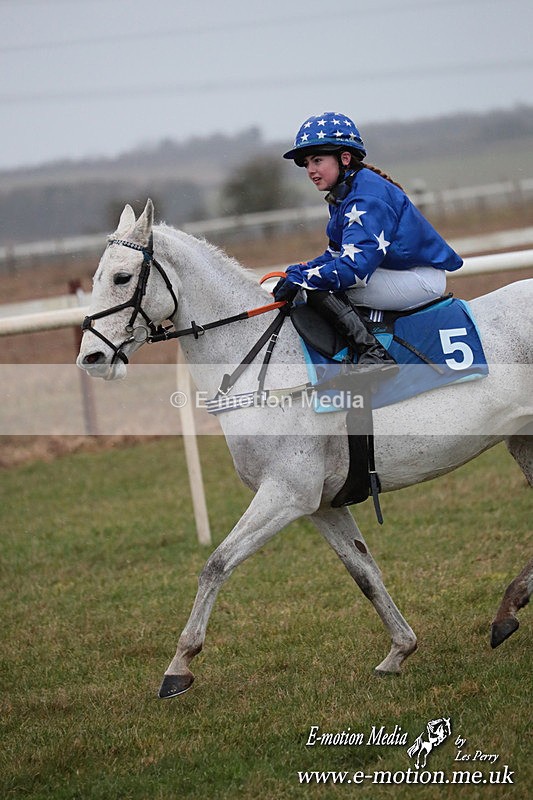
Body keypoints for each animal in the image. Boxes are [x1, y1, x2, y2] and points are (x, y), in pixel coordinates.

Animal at [77, 199, 532, 698]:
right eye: (95, 276)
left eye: (122, 277)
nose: (91, 359)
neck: (265, 362)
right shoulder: (322, 504)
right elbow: (364, 572)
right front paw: (399, 651)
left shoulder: (286, 493)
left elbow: (216, 564)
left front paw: (179, 665)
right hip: (523, 440)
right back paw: (507, 609)